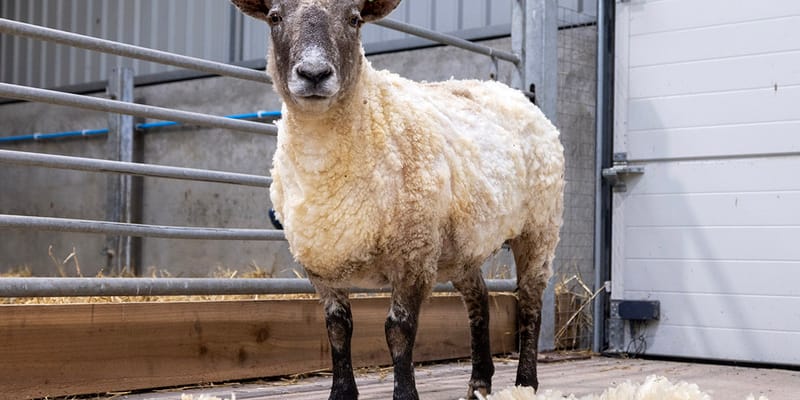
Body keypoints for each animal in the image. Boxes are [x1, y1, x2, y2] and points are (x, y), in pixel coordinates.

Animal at [229, 1, 564, 399]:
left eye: (354, 19)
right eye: (275, 17)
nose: (313, 73)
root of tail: (511, 93)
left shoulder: (412, 254)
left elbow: (398, 331)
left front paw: (405, 393)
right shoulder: (321, 263)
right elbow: (337, 328)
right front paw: (341, 393)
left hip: (539, 226)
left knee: (530, 302)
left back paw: (526, 382)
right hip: (460, 246)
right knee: (479, 299)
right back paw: (479, 382)